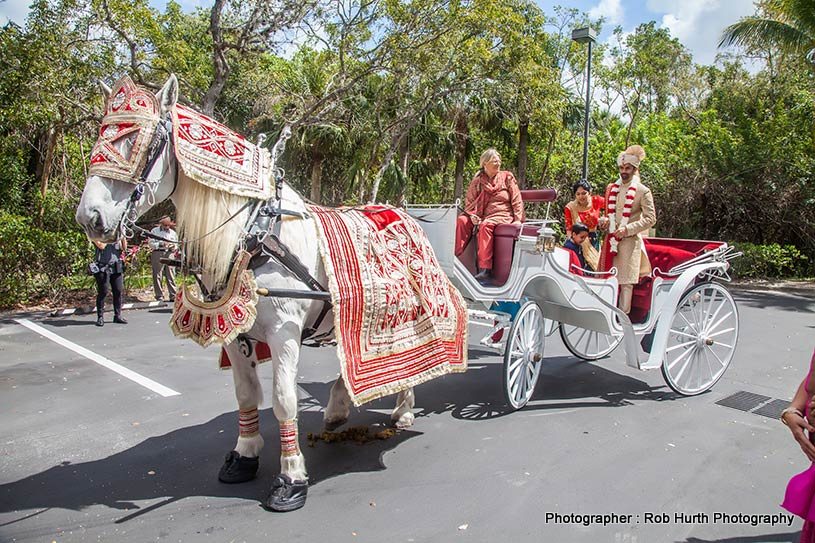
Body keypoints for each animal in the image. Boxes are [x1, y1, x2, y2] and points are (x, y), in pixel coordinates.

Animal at [75, 74, 420, 512]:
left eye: (140, 140)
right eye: (100, 135)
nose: (90, 218)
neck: (255, 232)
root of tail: (403, 213)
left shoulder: (284, 332)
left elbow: (284, 398)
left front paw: (290, 477)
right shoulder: (237, 334)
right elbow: (244, 395)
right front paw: (245, 454)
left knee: (407, 355)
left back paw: (403, 408)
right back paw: (338, 408)